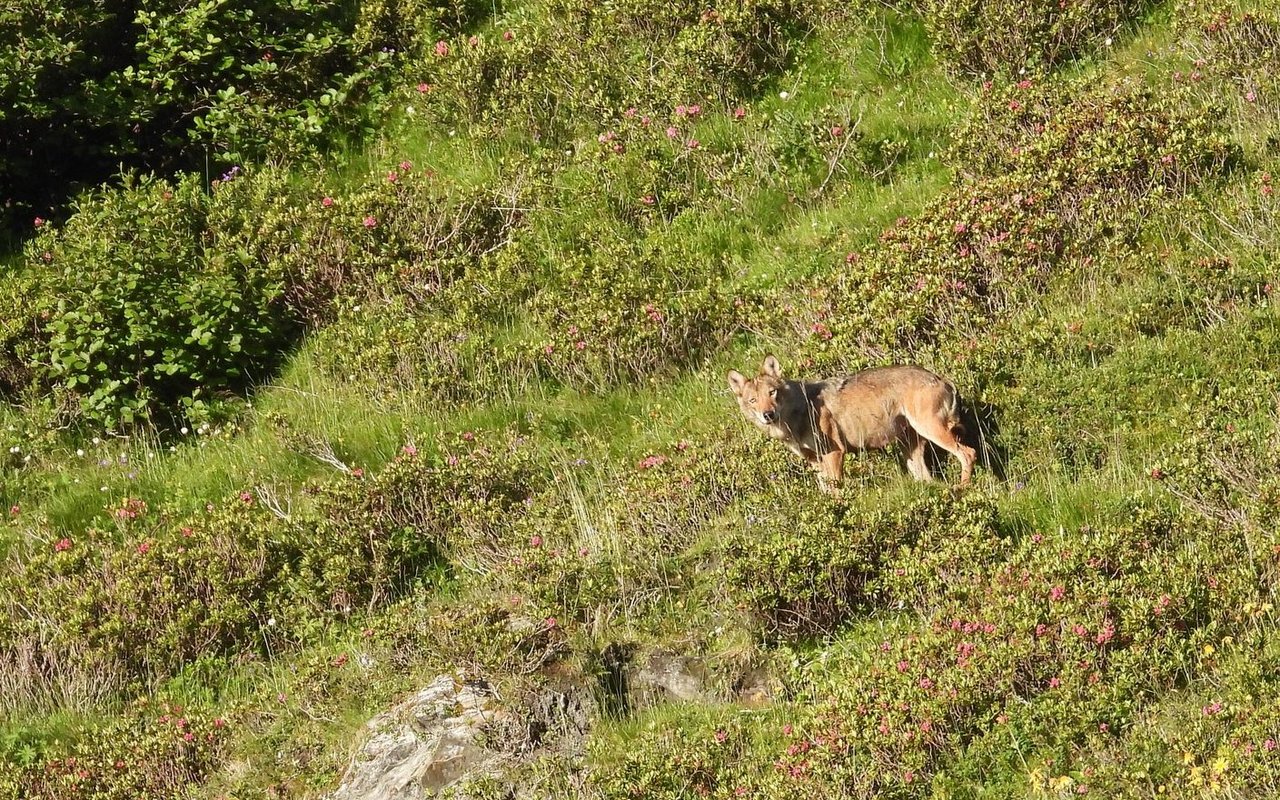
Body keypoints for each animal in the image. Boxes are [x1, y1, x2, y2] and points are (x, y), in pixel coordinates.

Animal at [727, 355, 976, 491]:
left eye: (772, 393)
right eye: (753, 400)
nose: (767, 414)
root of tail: (942, 378)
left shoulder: (834, 453)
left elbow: (836, 490)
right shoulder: (814, 460)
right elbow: (826, 491)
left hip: (931, 431)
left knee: (968, 453)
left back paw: (962, 487)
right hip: (910, 448)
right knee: (927, 478)